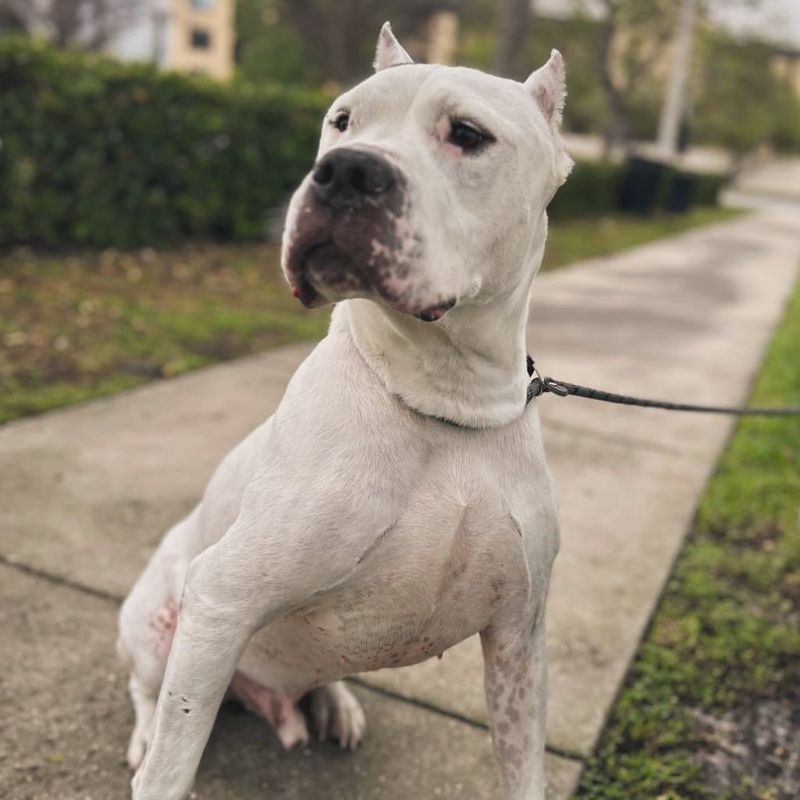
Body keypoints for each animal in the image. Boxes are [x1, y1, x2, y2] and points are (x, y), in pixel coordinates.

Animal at [117, 23, 568, 800]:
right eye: (342, 121)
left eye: (468, 134)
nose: (346, 172)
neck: (442, 396)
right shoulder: (223, 596)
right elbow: (172, 768)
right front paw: (162, 759)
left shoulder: (518, 638)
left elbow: (522, 769)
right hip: (155, 626)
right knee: (149, 693)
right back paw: (149, 730)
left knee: (315, 675)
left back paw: (334, 704)